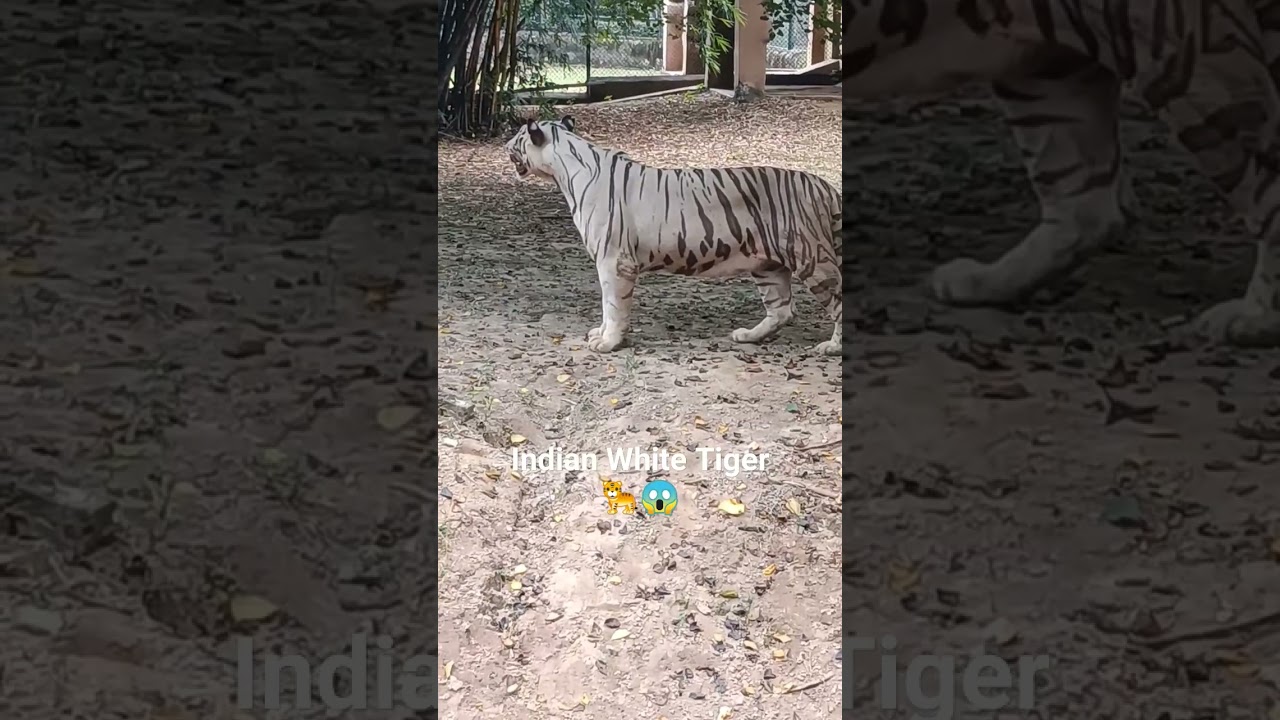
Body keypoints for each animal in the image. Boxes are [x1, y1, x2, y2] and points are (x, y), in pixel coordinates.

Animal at [504, 115, 842, 356]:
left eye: (518, 137)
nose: (504, 145)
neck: (565, 168)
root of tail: (825, 186)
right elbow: (606, 303)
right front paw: (601, 334)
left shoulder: (613, 260)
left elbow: (612, 303)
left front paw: (608, 342)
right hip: (767, 264)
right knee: (782, 310)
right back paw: (747, 336)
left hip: (812, 258)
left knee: (836, 302)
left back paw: (832, 347)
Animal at [843, 0, 1280, 348]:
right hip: (1047, 73)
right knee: (1088, 210)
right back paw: (982, 282)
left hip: (1183, 55)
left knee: (1267, 188)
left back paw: (1252, 320)